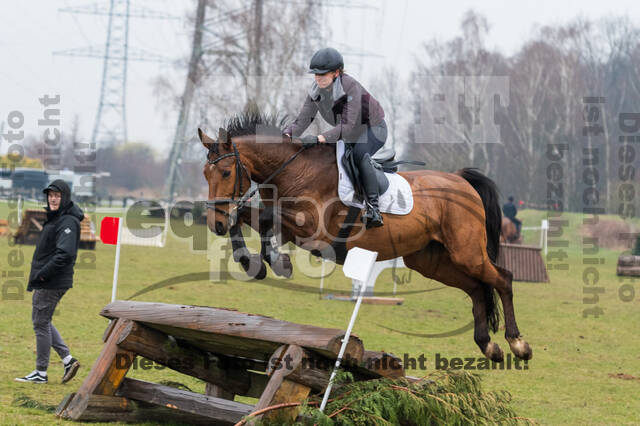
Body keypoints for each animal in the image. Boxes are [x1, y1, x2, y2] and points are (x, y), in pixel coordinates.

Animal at [198, 110, 532, 362]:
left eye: (226, 173)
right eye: (205, 174)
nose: (214, 223)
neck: (294, 171)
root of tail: (462, 181)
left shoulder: (315, 230)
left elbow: (266, 220)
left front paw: (278, 263)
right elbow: (244, 218)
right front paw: (251, 262)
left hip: (467, 252)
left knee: (502, 279)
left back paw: (518, 343)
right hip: (431, 261)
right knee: (476, 288)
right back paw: (488, 346)